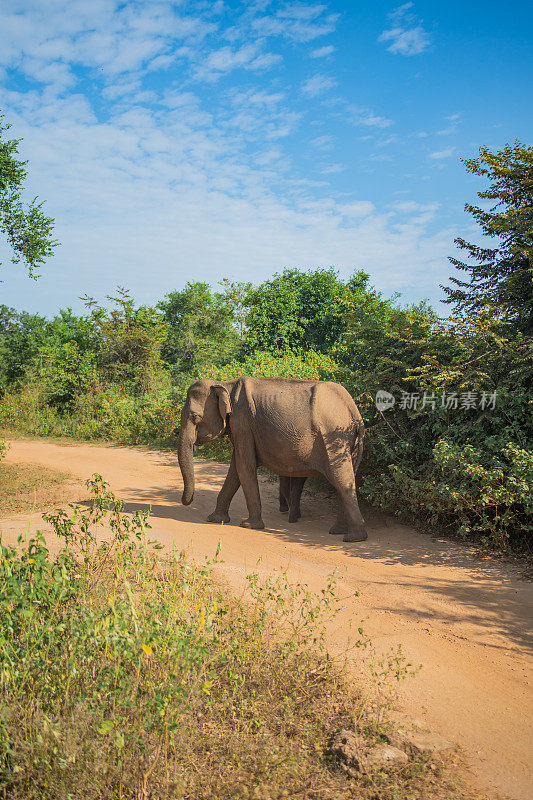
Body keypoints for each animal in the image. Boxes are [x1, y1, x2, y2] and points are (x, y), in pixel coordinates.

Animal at [178, 376, 366, 544]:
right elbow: (235, 470)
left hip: (334, 438)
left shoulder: (242, 423)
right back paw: (338, 531)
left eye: (194, 417)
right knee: (345, 479)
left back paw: (353, 538)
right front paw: (215, 519)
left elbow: (244, 466)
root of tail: (354, 412)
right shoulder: (241, 427)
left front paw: (249, 525)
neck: (225, 384)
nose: (188, 501)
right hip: (347, 441)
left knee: (342, 480)